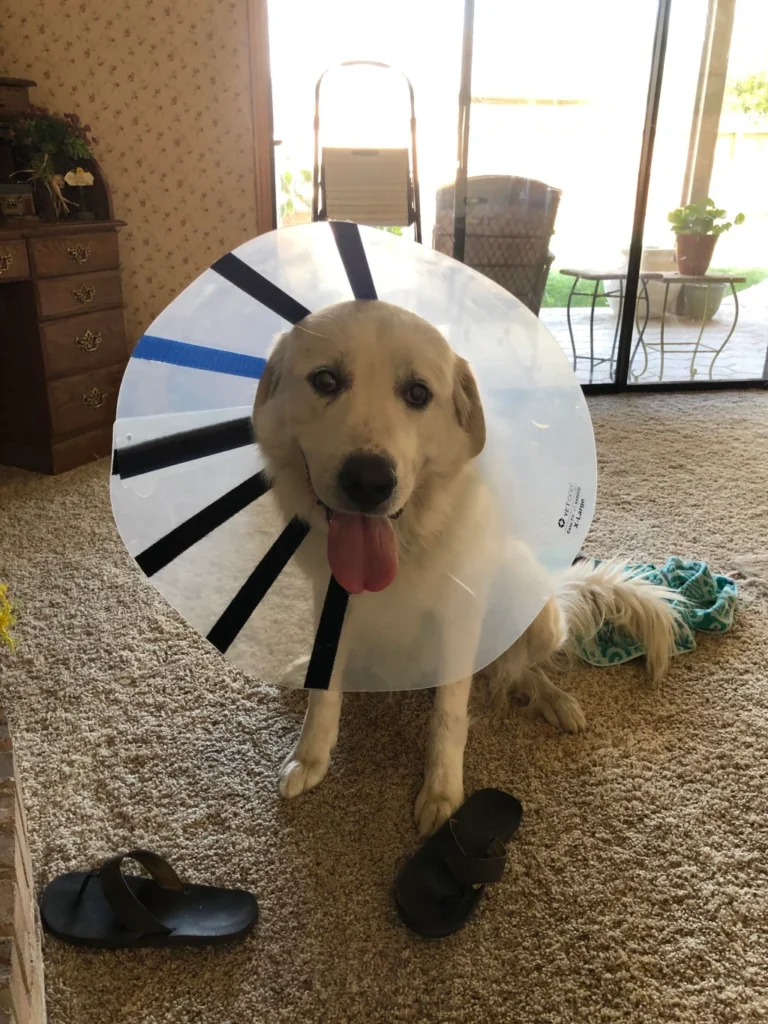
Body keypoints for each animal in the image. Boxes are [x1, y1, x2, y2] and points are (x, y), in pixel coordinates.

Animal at [252, 299, 679, 835]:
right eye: (325, 380)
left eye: (418, 393)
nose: (369, 482)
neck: (407, 541)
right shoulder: (330, 602)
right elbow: (324, 692)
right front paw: (310, 757)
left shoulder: (458, 624)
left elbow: (449, 720)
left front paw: (442, 794)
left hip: (534, 613)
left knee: (513, 670)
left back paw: (554, 699)